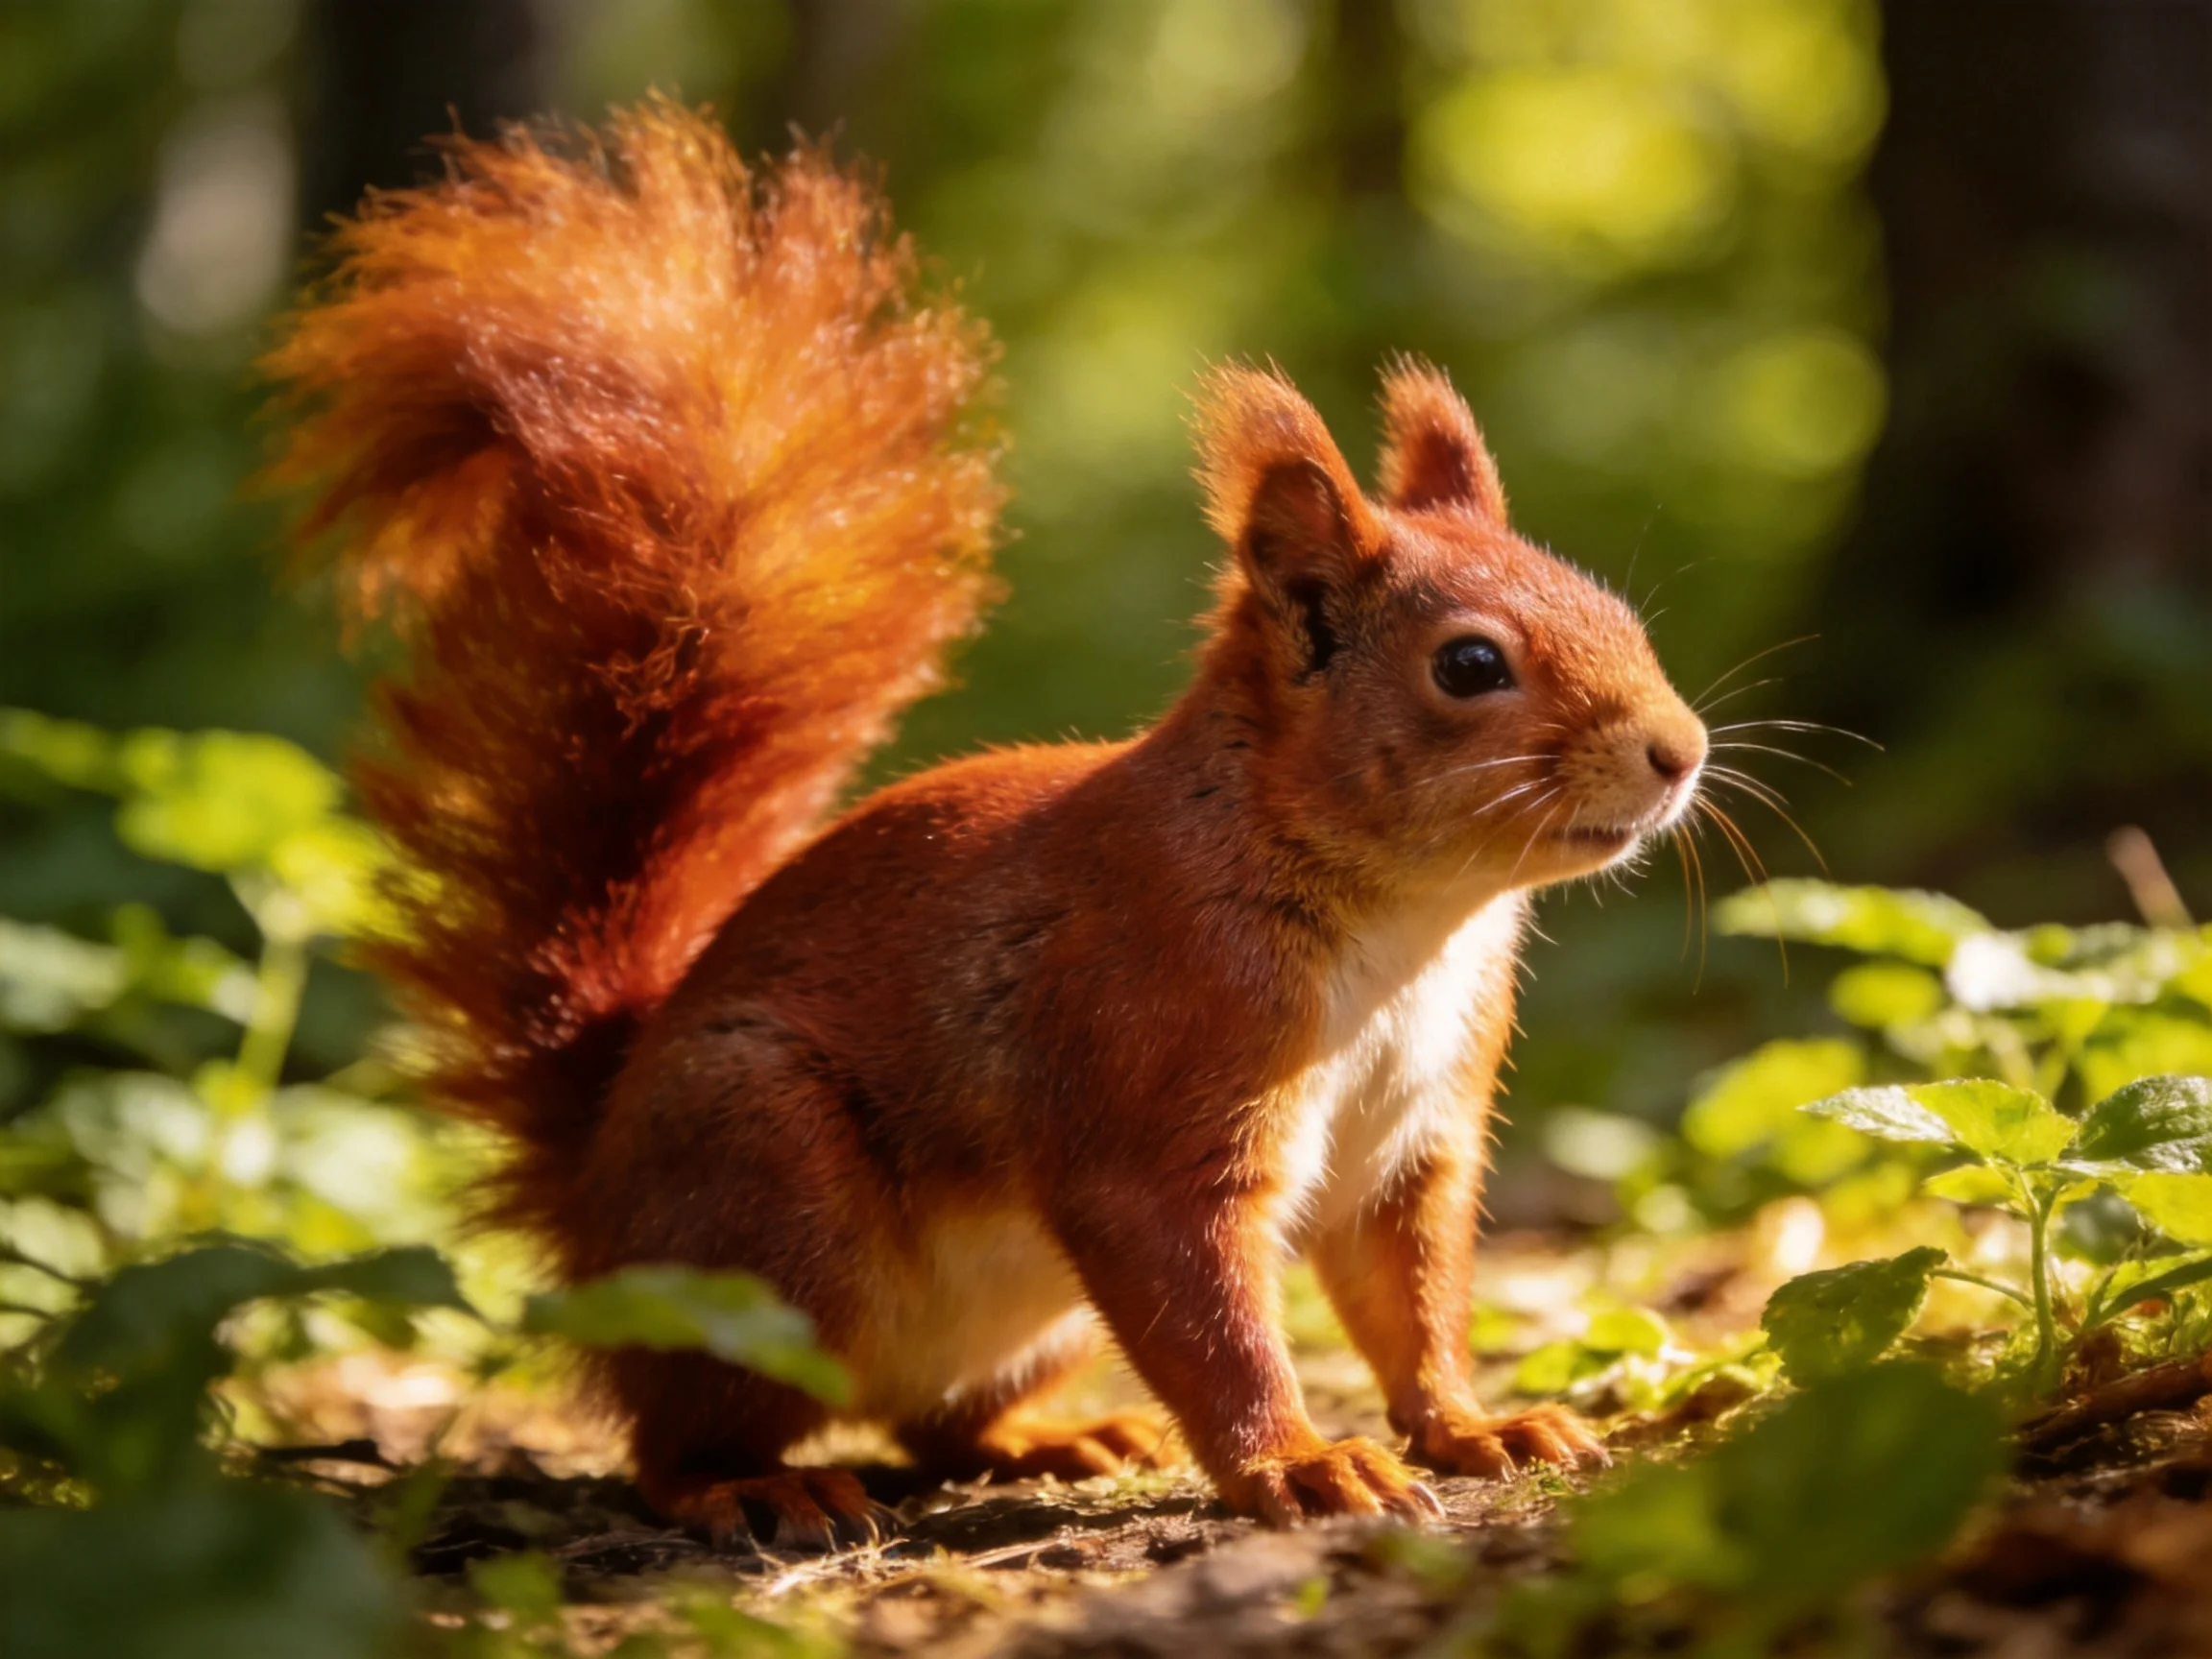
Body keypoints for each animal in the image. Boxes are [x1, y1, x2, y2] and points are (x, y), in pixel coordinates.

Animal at [264, 100, 1706, 1549]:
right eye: (1469, 666)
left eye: (1617, 611)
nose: (1681, 751)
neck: (1408, 923)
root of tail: (596, 1195)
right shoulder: (1147, 1072)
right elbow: (1211, 1316)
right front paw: (1302, 1462)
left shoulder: (1416, 1139)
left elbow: (1411, 1304)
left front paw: (1475, 1425)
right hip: (767, 1206)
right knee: (672, 1434)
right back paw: (752, 1484)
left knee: (936, 1421)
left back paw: (1048, 1439)